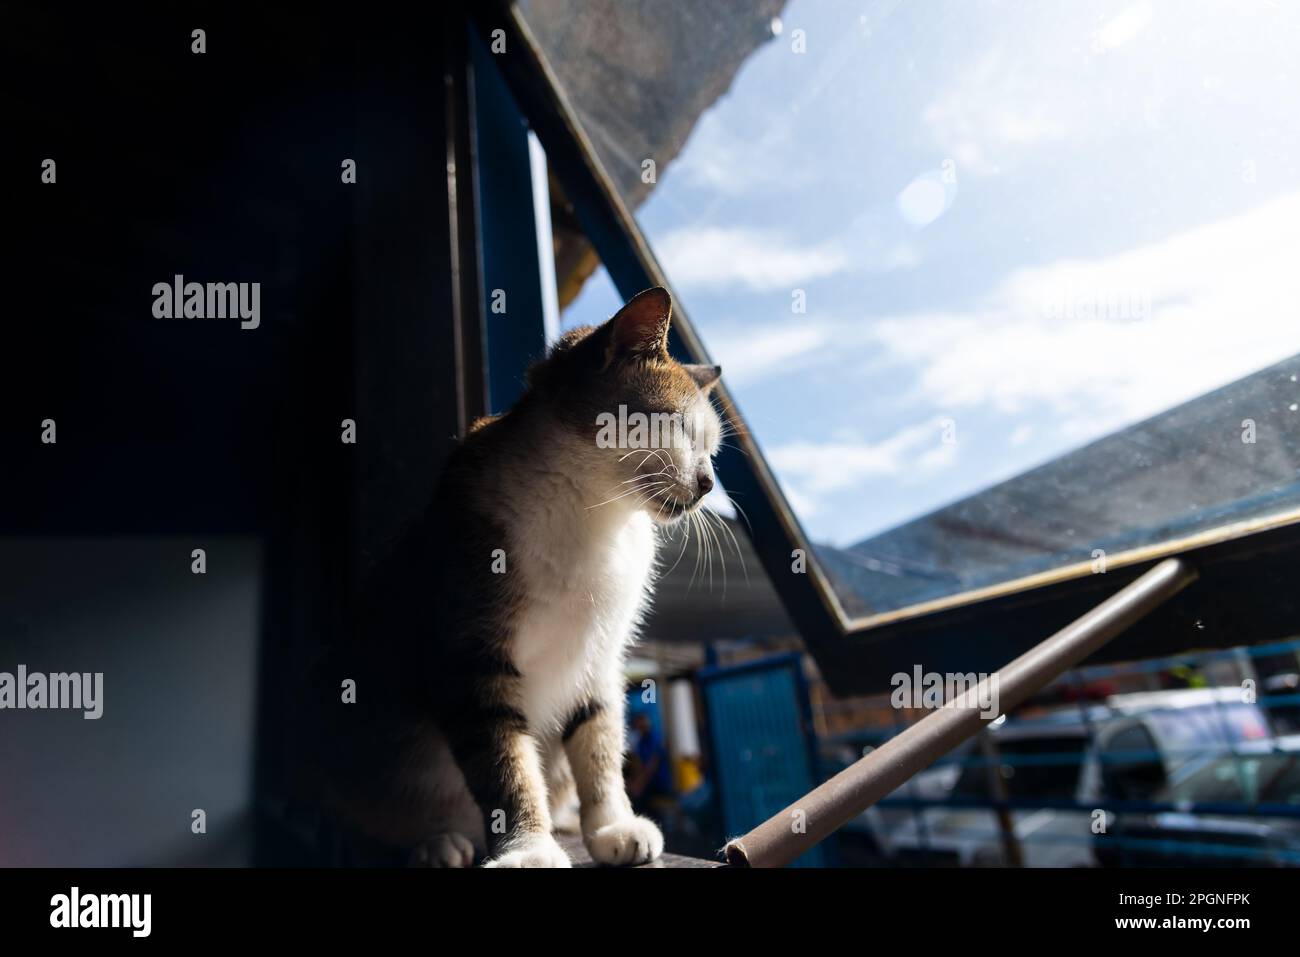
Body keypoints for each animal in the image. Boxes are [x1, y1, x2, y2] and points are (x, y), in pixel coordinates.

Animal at [314, 286, 722, 868]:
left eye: (712, 446)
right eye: (678, 427)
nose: (709, 483)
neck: (595, 512)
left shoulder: (599, 656)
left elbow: (599, 742)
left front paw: (612, 827)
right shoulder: (472, 658)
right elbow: (506, 763)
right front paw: (529, 847)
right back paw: (436, 841)